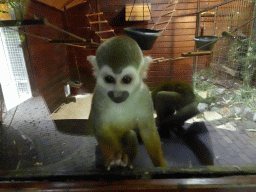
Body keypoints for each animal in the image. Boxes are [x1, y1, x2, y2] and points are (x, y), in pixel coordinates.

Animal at [87, 35, 167, 170]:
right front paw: (115, 158)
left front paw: (161, 164)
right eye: (109, 79)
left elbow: (147, 130)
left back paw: (127, 162)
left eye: (126, 79)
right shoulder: (98, 95)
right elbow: (101, 128)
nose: (117, 93)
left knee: (130, 134)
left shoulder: (144, 94)